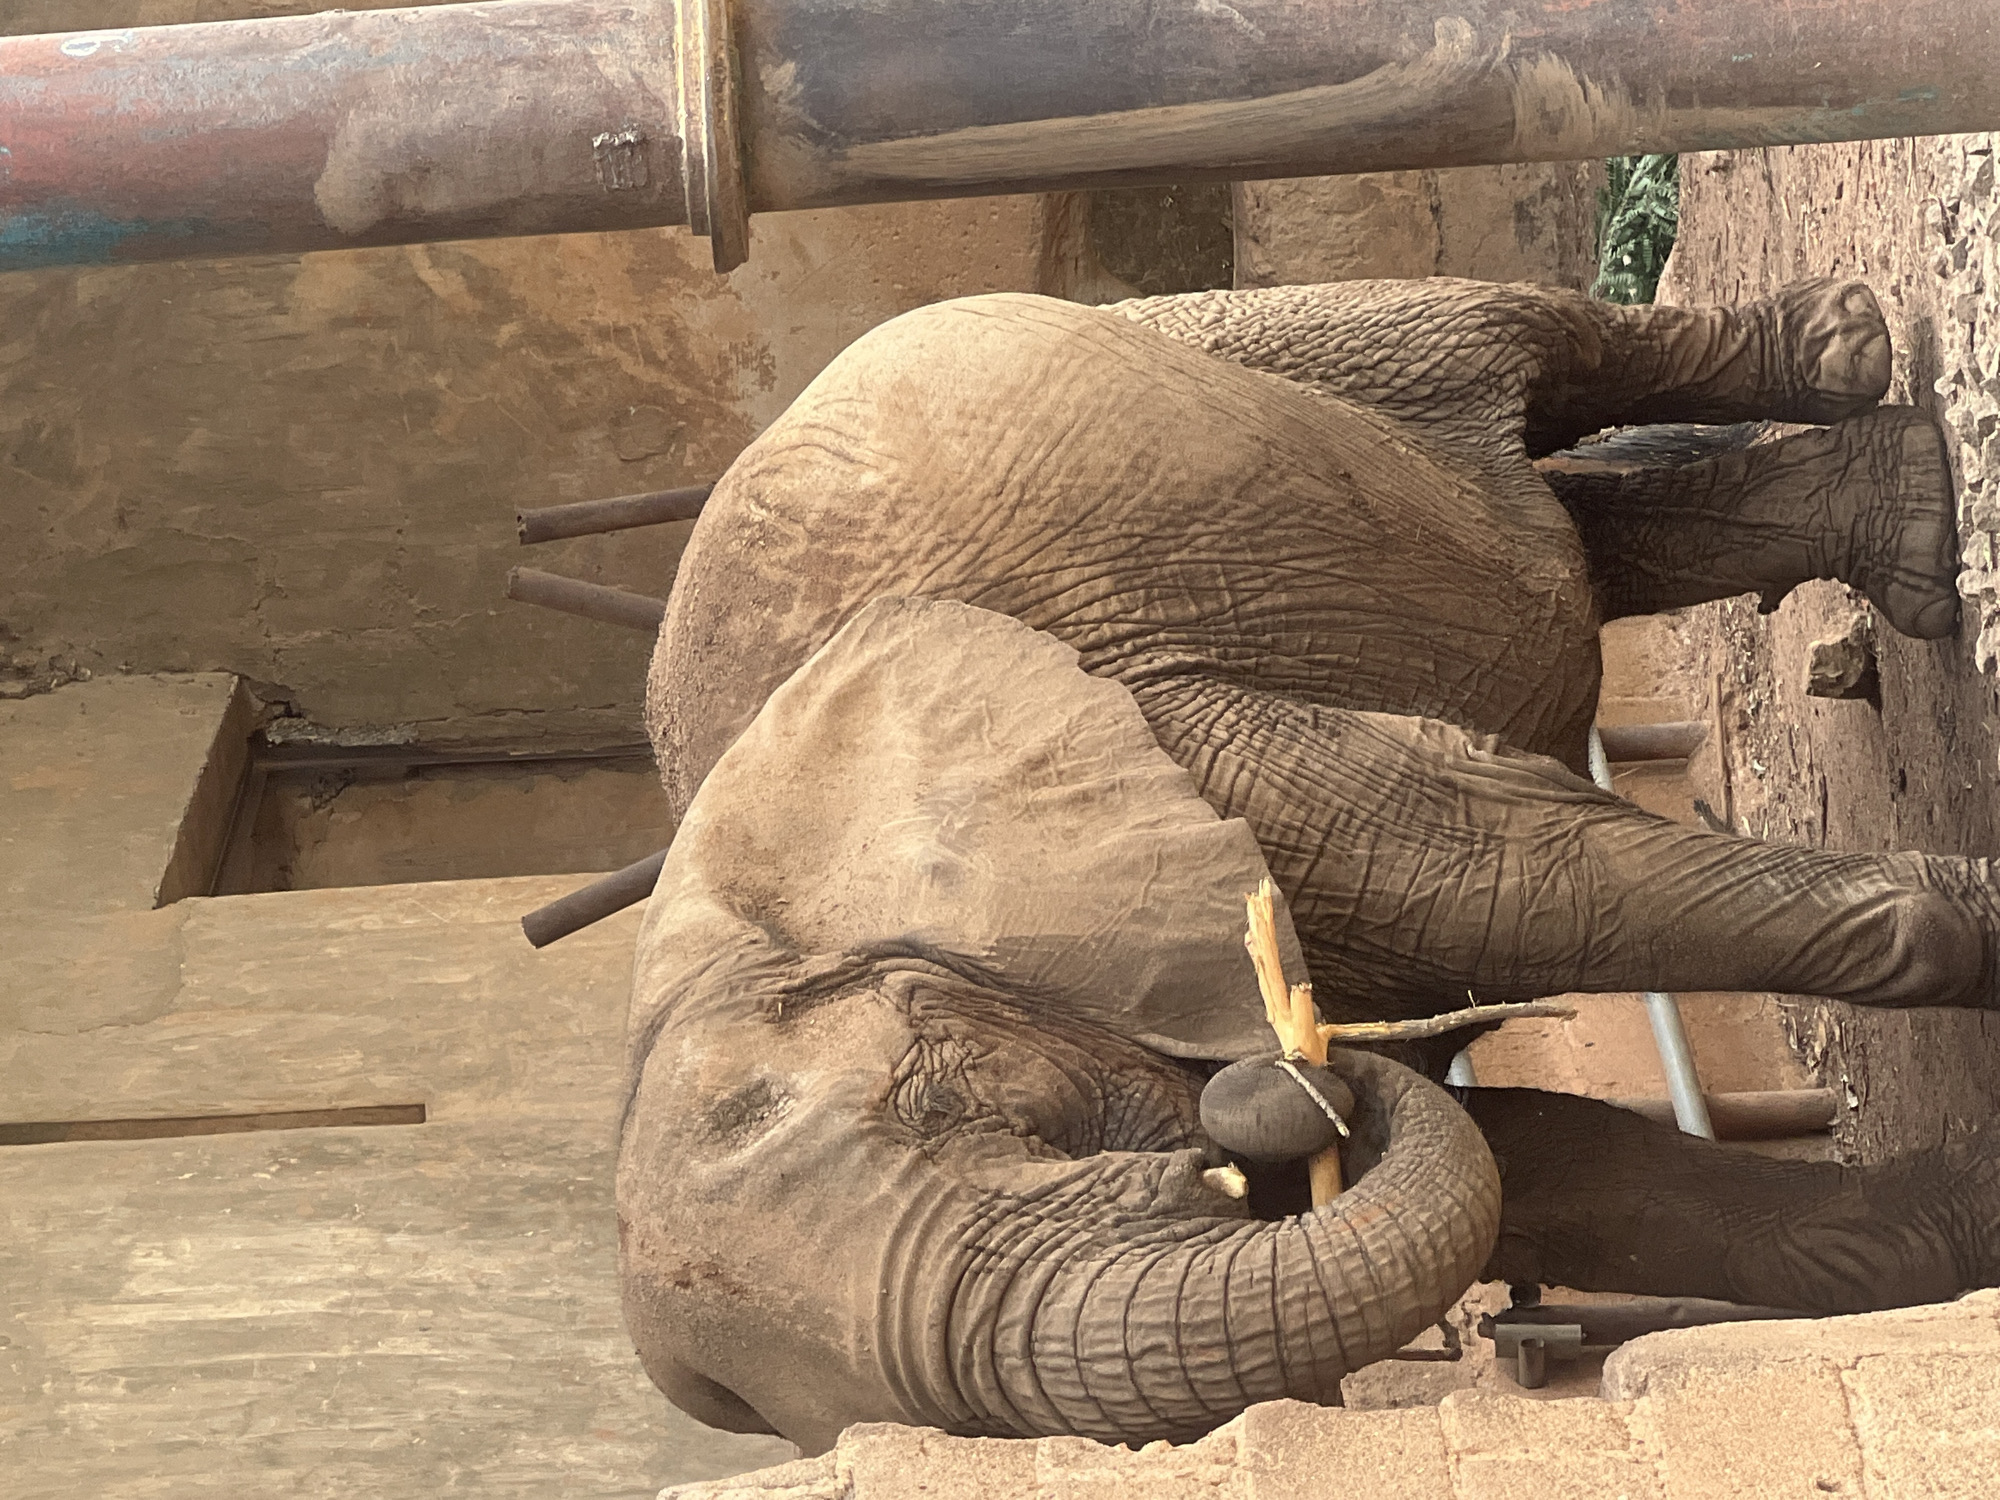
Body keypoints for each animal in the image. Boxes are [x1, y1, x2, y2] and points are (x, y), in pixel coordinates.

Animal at [615, 276, 2000, 1454]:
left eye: (957, 1102)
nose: (1272, 1088)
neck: (754, 896)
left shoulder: (1185, 741)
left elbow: (1507, 881)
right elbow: (1540, 1163)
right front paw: (1959, 1227)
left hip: (1263, 333)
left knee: (1520, 345)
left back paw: (1845, 359)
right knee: (1571, 543)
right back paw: (1903, 526)